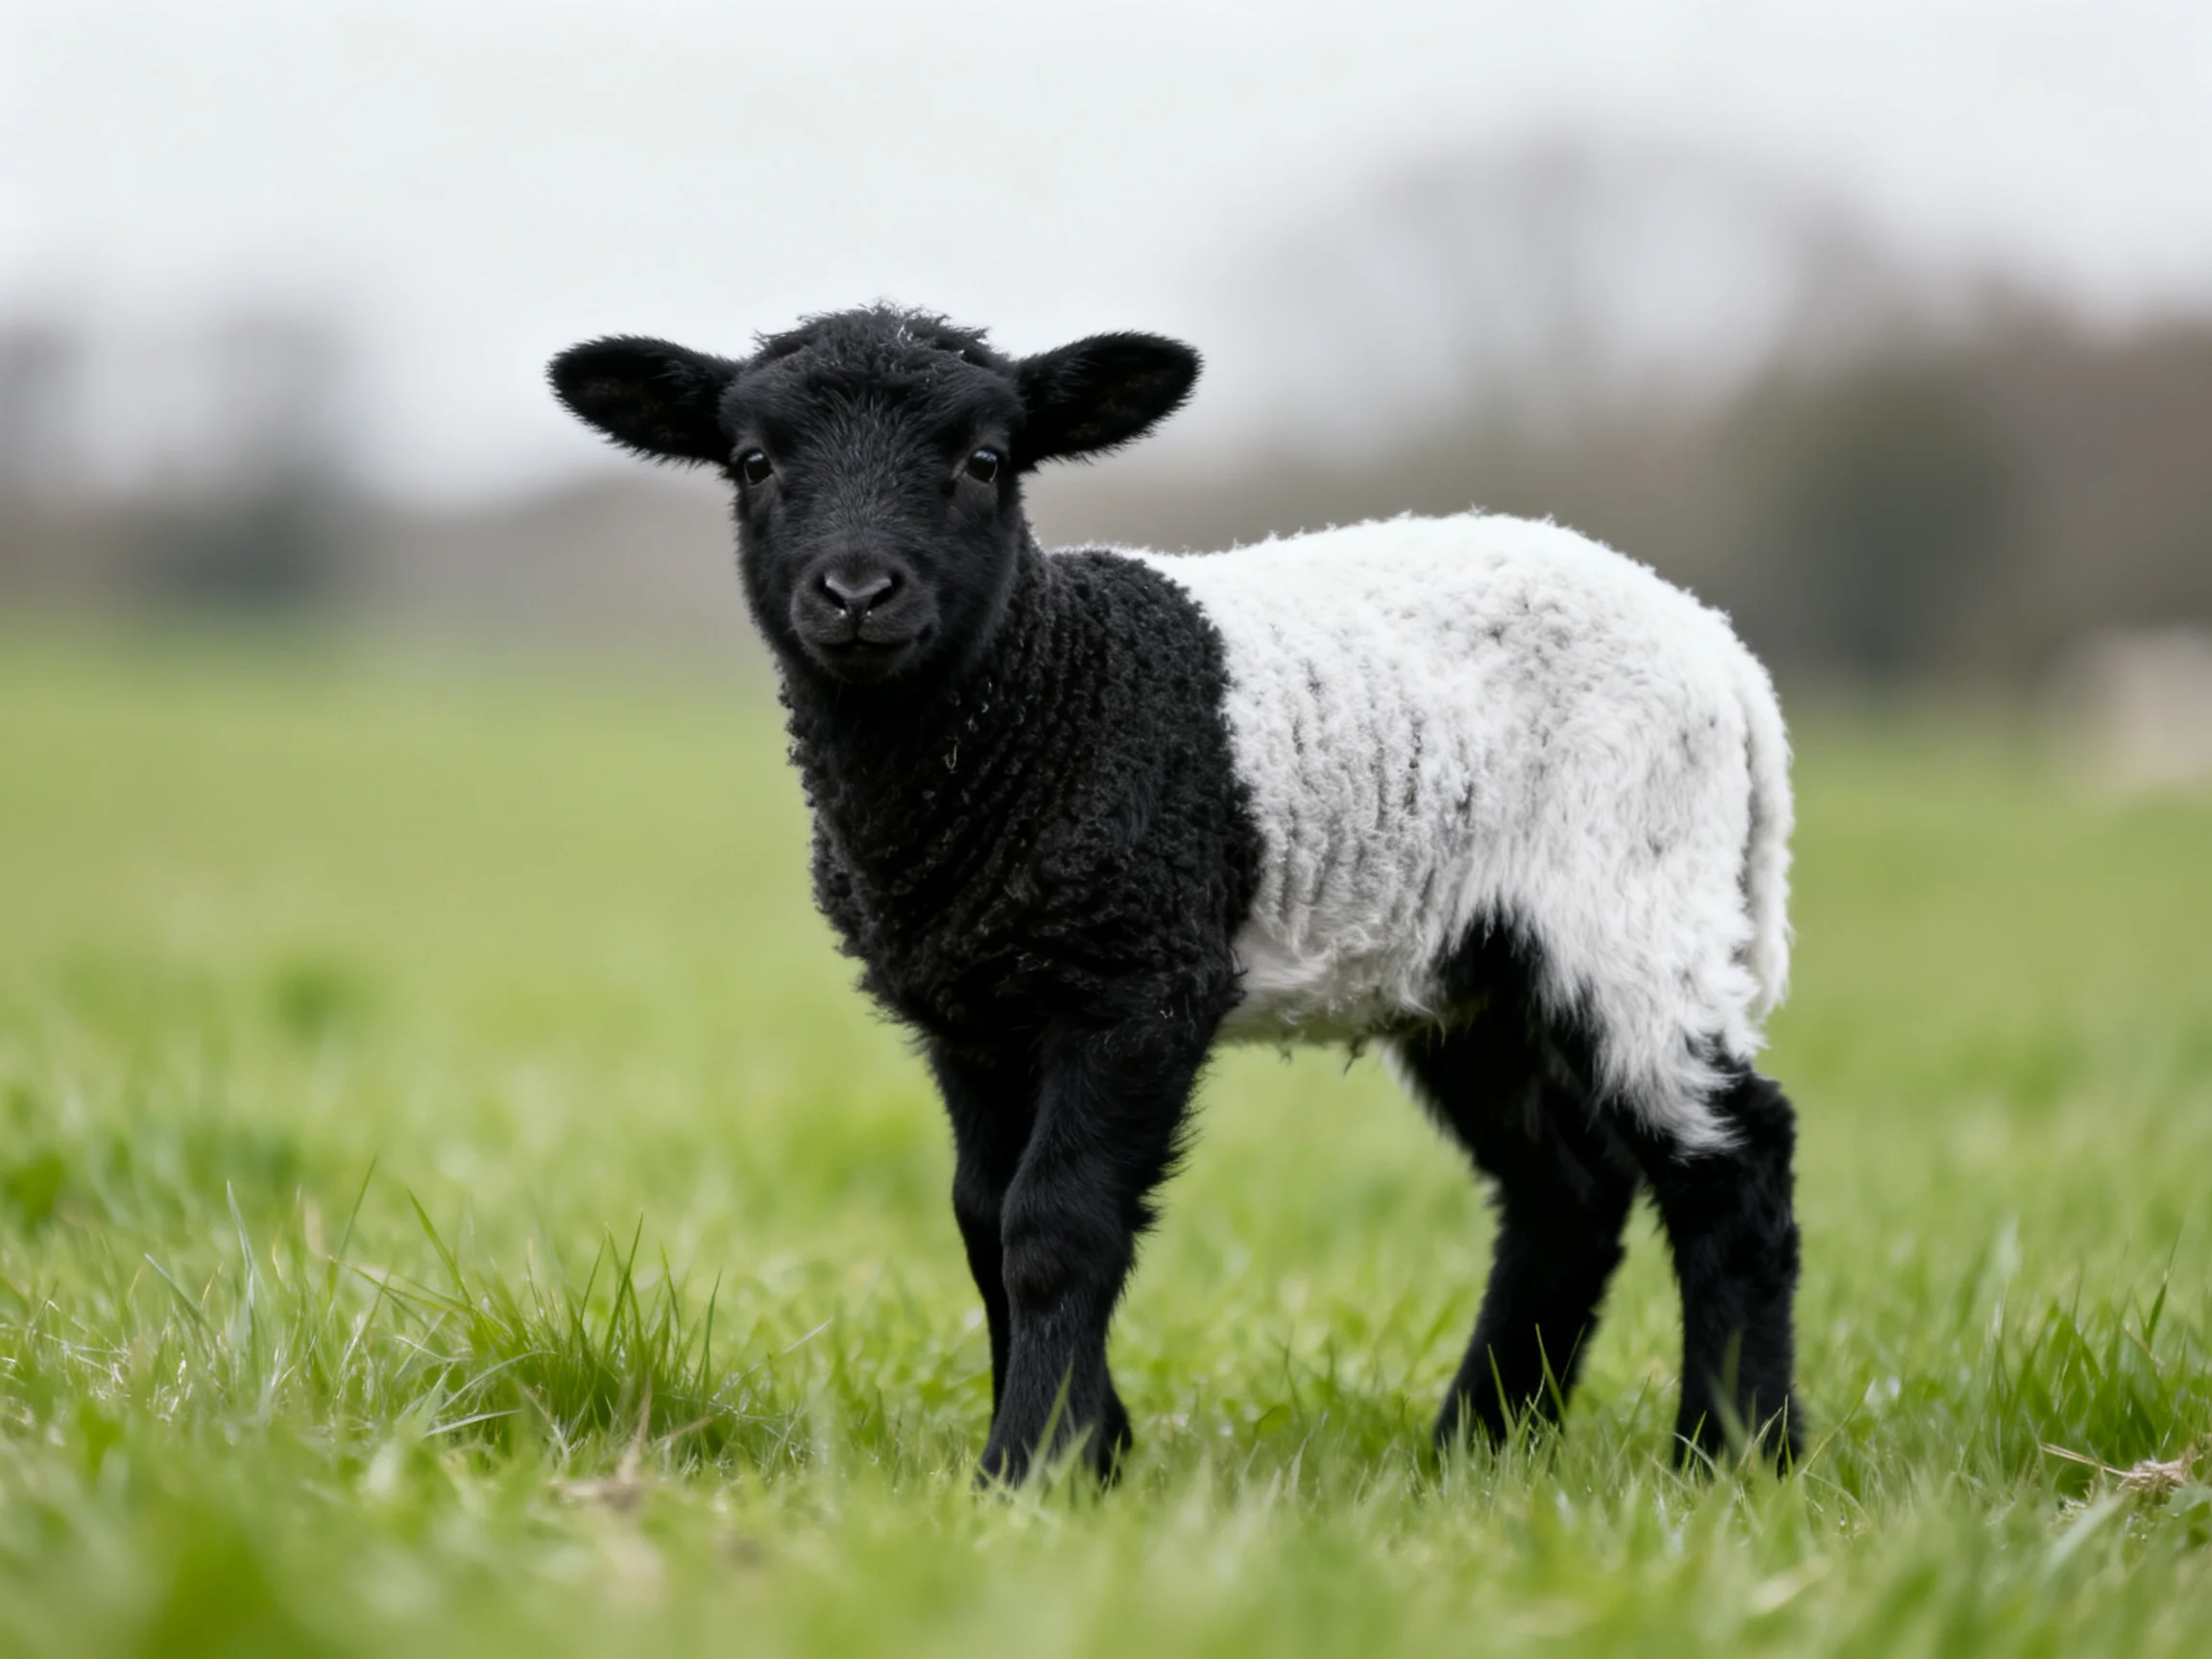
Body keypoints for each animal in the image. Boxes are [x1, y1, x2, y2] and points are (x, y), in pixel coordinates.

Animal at [549, 305, 1804, 1482]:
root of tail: (1716, 645)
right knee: (1566, 1193)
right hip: (1475, 969)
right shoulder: (974, 1010)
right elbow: (982, 1220)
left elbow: (1055, 1227)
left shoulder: (1140, 979)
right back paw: (1475, 1451)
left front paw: (1031, 1468)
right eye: (753, 461)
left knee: (1733, 1164)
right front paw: (1089, 1447)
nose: (857, 593)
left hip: (1635, 903)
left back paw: (1732, 1454)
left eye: (987, 460)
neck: (1038, 703)